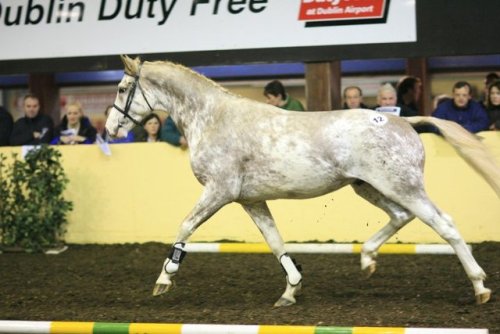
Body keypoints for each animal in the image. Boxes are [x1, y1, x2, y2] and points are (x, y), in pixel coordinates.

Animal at [106, 56, 500, 306]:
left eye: (124, 88)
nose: (110, 129)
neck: (212, 118)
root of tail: (405, 121)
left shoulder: (219, 191)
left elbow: (185, 226)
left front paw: (164, 279)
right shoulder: (249, 199)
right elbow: (275, 241)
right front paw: (290, 291)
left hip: (402, 187)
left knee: (445, 224)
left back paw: (479, 286)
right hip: (369, 187)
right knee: (401, 217)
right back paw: (367, 260)